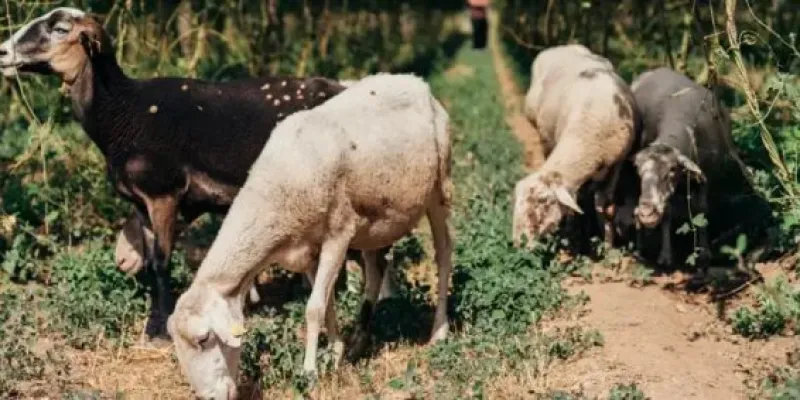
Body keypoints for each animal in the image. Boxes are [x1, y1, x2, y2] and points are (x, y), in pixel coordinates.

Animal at [0, 7, 348, 341]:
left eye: (60, 29)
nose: (3, 51)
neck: (123, 112)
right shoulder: (142, 204)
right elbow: (151, 261)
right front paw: (152, 322)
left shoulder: (163, 193)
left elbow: (161, 262)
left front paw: (160, 330)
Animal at [167, 73, 453, 399]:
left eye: (204, 340)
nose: (210, 398)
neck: (275, 190)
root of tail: (415, 82)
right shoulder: (309, 249)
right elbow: (326, 303)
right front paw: (336, 353)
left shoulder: (338, 234)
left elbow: (314, 308)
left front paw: (310, 373)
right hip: (378, 218)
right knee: (375, 268)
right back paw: (359, 341)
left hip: (439, 187)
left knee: (443, 254)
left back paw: (439, 331)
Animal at [513, 44, 640, 248]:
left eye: (543, 200)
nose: (518, 243)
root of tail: (562, 46)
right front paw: (573, 233)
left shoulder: (617, 164)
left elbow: (604, 204)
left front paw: (607, 243)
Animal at [629, 67, 770, 269]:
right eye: (639, 172)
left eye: (671, 170)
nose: (647, 213)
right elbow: (667, 213)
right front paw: (666, 256)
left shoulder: (706, 176)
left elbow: (702, 210)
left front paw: (704, 253)